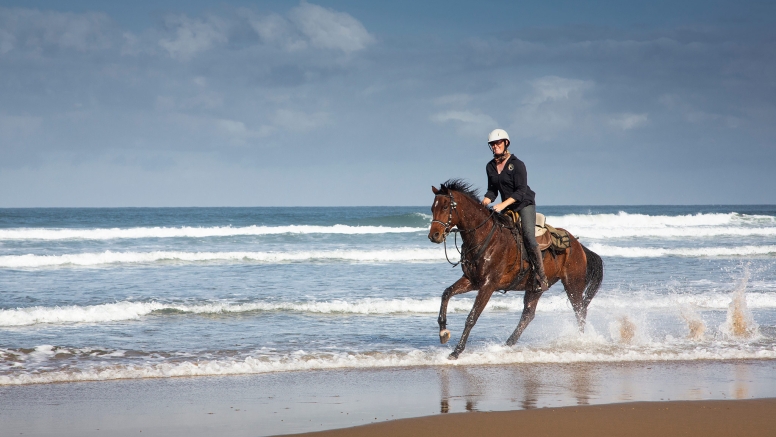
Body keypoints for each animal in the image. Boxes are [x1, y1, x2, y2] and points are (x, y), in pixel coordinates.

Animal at [428, 179, 604, 360]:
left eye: (445, 207)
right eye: (432, 208)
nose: (434, 236)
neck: (483, 236)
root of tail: (578, 245)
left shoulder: (488, 285)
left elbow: (472, 317)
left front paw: (456, 351)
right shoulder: (472, 281)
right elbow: (447, 293)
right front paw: (443, 332)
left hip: (573, 284)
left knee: (580, 311)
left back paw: (580, 340)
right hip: (535, 288)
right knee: (528, 315)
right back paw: (508, 344)